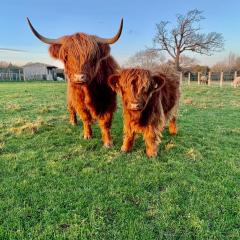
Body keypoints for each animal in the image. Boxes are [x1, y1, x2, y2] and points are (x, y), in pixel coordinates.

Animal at [27, 17, 123, 146]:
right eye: (66, 56)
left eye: (93, 57)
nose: (79, 77)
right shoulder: (78, 101)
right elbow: (85, 117)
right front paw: (87, 135)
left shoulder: (109, 100)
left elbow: (105, 121)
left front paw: (108, 142)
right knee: (71, 109)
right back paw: (73, 122)